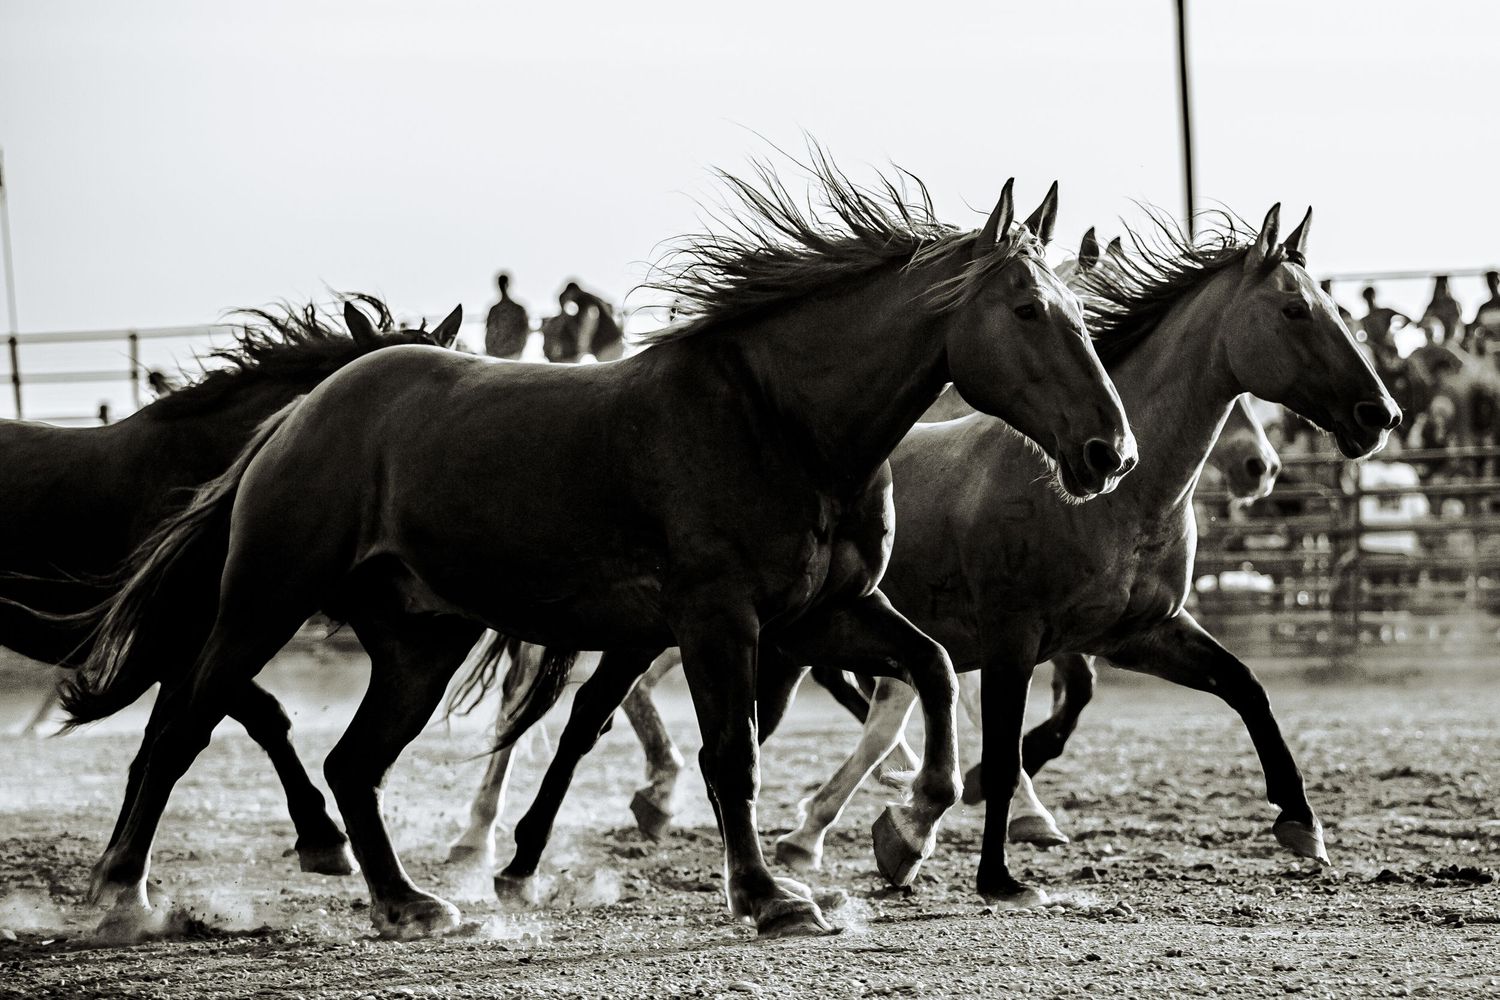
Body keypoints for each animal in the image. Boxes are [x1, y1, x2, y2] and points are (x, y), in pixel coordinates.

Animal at [1, 298, 461, 879]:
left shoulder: (185, 650)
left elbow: (158, 744)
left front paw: (117, 862)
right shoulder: (180, 643)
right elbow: (261, 718)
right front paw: (323, 838)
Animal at [56, 158, 1136, 940]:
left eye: (1081, 310)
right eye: (1030, 310)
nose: (1110, 453)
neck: (782, 423)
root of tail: (301, 414)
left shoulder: (827, 614)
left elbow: (937, 669)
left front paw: (908, 832)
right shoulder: (719, 621)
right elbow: (730, 753)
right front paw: (769, 895)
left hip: (419, 642)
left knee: (354, 764)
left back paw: (409, 903)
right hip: (266, 601)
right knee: (182, 729)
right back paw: (124, 895)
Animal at [492, 204, 1398, 910]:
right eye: (1296, 312)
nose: (1379, 413)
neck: (1119, 502)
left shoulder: (1139, 632)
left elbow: (1243, 690)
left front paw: (1301, 825)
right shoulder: (1010, 639)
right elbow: (994, 740)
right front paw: (978, 860)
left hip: (753, 643)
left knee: (630, 718)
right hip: (680, 631)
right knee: (593, 714)